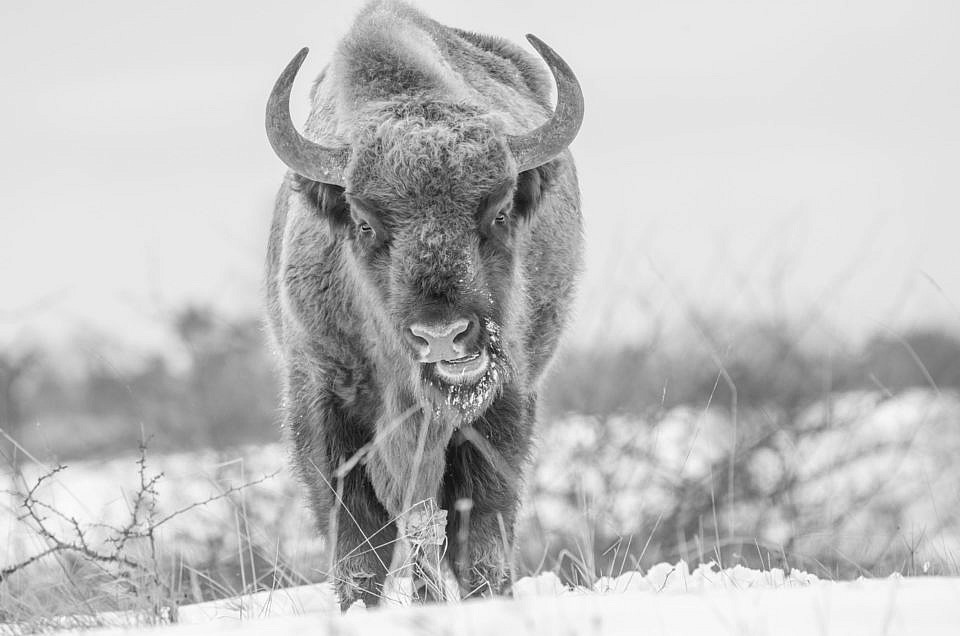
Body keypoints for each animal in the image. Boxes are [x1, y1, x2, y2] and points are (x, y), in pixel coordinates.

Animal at [266, 0, 588, 608]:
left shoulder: (502, 405)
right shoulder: (325, 405)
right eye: (365, 223)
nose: (443, 335)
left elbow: (478, 533)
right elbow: (361, 545)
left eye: (500, 212)